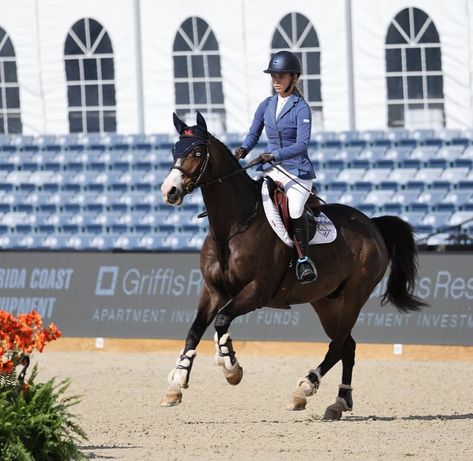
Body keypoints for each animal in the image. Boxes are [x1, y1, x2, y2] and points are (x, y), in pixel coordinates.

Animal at [159, 110, 424, 416]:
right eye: (174, 150)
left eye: (198, 152)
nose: (170, 191)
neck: (232, 228)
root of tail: (372, 224)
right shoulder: (213, 290)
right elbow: (195, 330)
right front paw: (177, 382)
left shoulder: (257, 291)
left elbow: (222, 321)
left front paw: (231, 367)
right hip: (325, 300)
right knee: (347, 345)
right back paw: (339, 402)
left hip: (355, 295)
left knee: (338, 345)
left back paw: (305, 387)